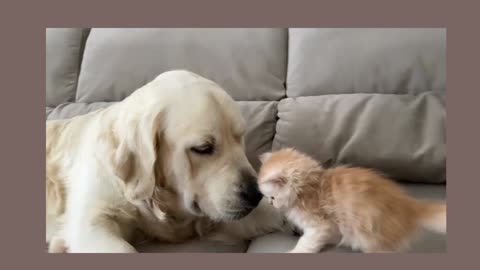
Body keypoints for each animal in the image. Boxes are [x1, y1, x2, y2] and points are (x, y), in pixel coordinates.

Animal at [256, 148, 448, 253]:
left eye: (272, 197)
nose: (271, 204)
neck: (310, 188)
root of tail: (410, 206)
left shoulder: (319, 225)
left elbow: (306, 242)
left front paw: (295, 252)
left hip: (374, 237)